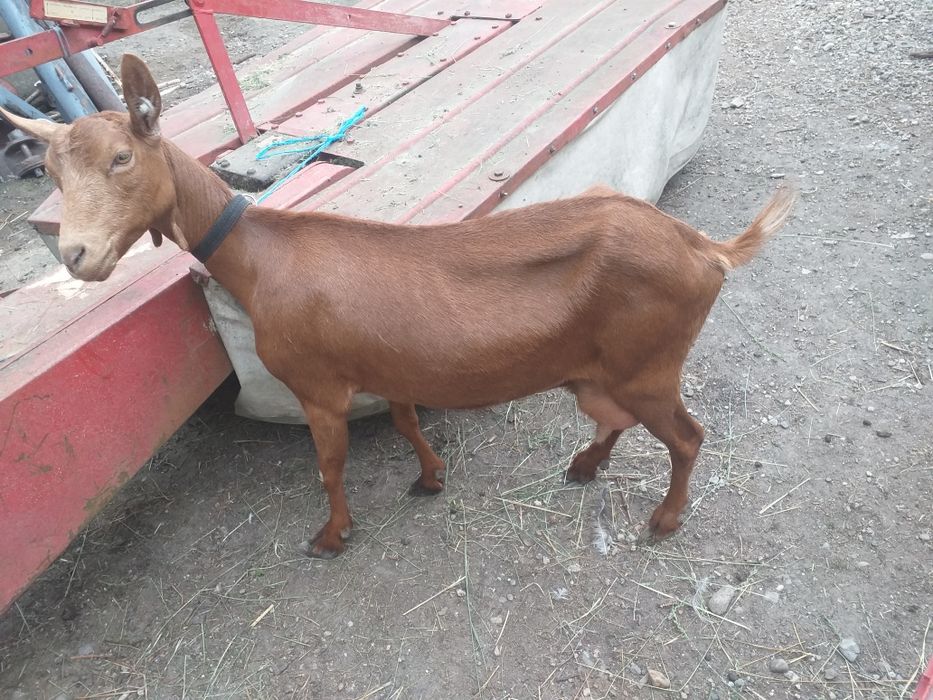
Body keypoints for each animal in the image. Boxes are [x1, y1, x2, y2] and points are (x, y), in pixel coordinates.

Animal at [1, 54, 796, 558]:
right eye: (52, 173)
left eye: (122, 158)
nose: (78, 256)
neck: (259, 256)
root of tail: (706, 249)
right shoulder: (388, 368)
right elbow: (410, 422)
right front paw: (429, 479)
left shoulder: (318, 387)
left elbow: (329, 468)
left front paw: (330, 538)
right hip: (603, 368)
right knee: (616, 418)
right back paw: (582, 466)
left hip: (649, 362)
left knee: (686, 437)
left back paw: (663, 520)